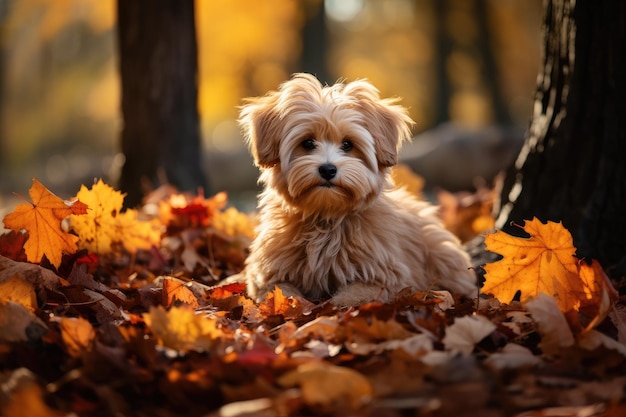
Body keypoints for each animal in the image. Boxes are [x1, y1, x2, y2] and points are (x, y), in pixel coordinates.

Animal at [236, 73, 476, 304]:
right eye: (307, 143)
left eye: (347, 144)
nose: (328, 169)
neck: (326, 217)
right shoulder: (267, 273)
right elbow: (279, 291)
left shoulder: (387, 276)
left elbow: (353, 296)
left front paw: (331, 306)